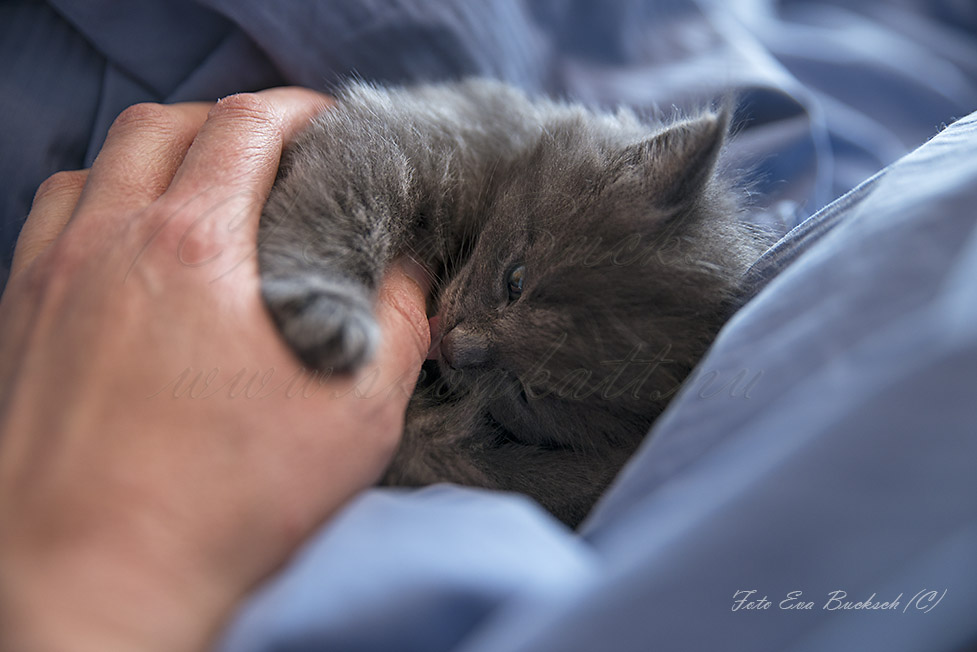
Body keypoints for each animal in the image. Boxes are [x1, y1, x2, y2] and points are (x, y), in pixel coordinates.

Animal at [260, 81, 772, 528]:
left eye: (532, 393)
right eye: (516, 281)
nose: (453, 347)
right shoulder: (405, 139)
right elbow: (348, 209)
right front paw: (325, 309)